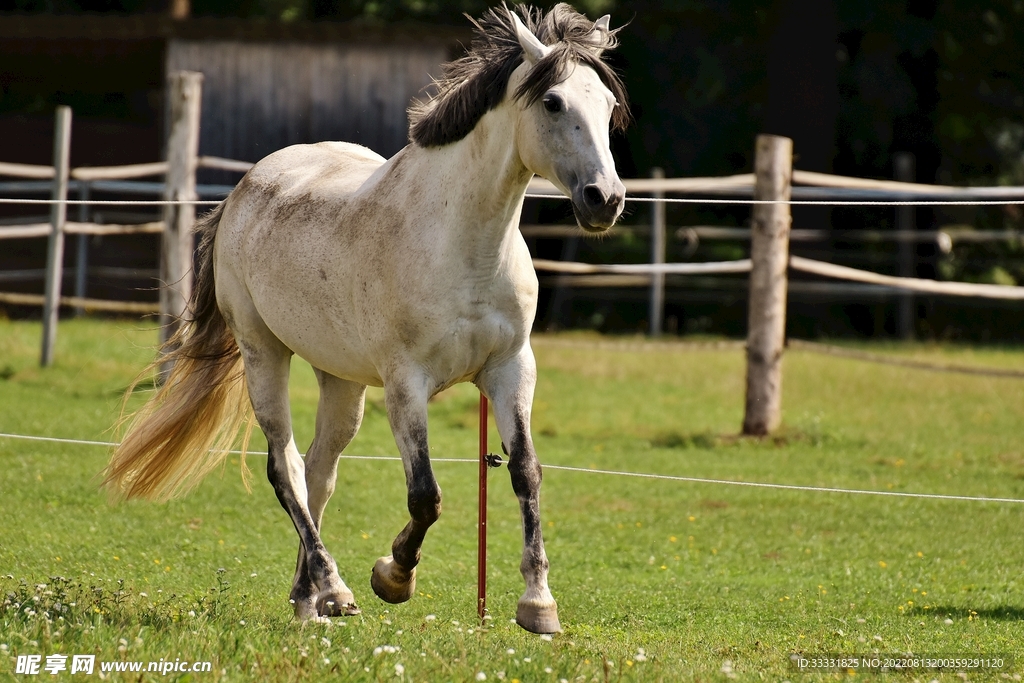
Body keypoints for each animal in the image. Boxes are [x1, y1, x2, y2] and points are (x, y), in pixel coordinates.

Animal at [103, 3, 628, 635]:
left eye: (607, 103)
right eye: (553, 102)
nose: (605, 199)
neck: (464, 246)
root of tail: (241, 191)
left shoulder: (510, 369)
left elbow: (526, 473)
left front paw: (538, 605)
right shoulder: (406, 383)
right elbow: (425, 495)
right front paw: (393, 576)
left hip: (341, 380)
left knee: (318, 471)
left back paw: (308, 599)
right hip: (263, 352)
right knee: (285, 468)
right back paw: (335, 589)